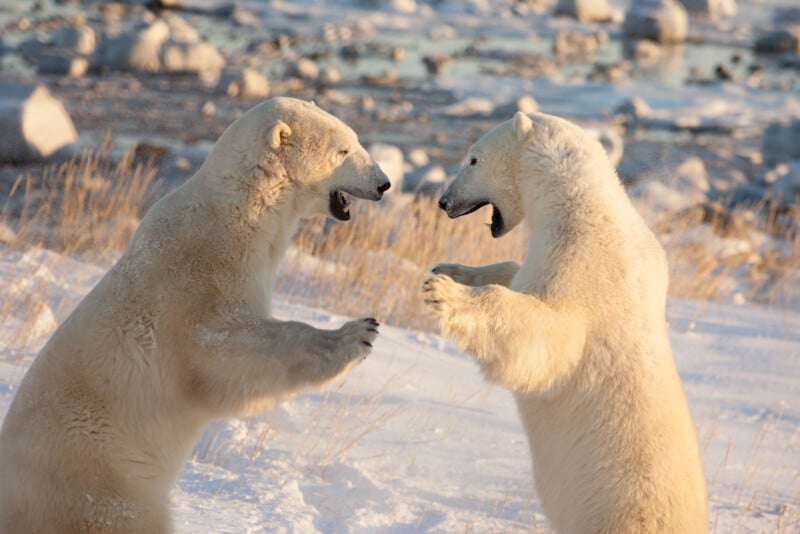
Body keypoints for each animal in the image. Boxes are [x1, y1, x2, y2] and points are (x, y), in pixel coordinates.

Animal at [0, 97, 390, 534]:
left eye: (355, 141)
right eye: (343, 150)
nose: (384, 183)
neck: (236, 209)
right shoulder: (196, 278)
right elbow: (219, 355)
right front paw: (356, 334)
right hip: (99, 482)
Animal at [424, 111, 708, 532]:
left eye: (473, 159)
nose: (444, 202)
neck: (581, 201)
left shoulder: (583, 262)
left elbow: (549, 341)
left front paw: (444, 292)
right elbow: (517, 274)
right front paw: (453, 269)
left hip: (614, 514)